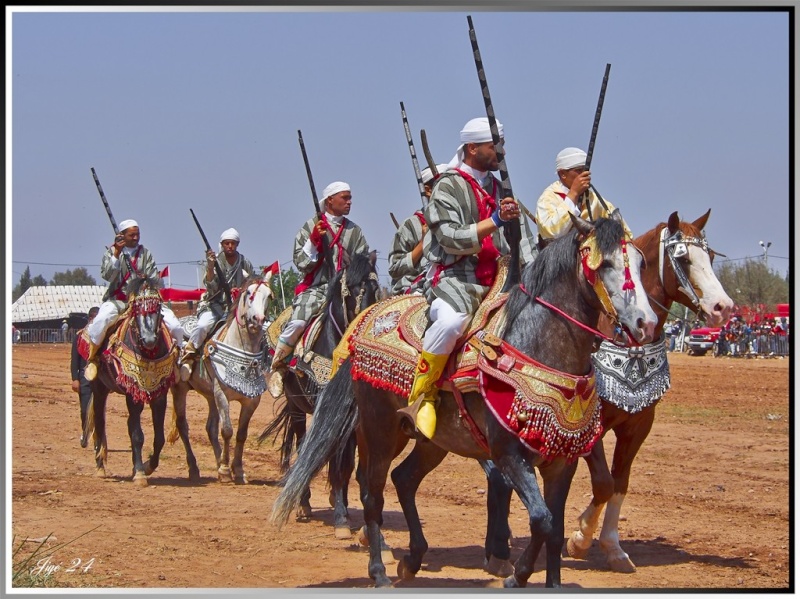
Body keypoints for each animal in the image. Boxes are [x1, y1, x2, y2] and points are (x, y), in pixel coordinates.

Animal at [87, 282, 181, 488]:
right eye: (136, 311)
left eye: (158, 309)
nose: (149, 340)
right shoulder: (134, 394)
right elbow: (137, 434)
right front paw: (139, 473)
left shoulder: (159, 396)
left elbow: (159, 438)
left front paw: (147, 466)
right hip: (99, 389)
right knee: (100, 423)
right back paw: (100, 466)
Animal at [167, 274, 274, 486]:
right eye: (248, 294)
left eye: (269, 295)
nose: (258, 320)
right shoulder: (222, 394)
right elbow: (227, 431)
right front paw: (225, 470)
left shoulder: (251, 401)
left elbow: (241, 434)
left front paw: (238, 470)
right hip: (180, 390)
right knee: (183, 426)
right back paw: (194, 468)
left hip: (210, 396)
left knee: (210, 428)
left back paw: (217, 464)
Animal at [256, 251, 382, 536]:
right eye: (351, 289)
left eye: (374, 287)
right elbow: (333, 460)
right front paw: (341, 519)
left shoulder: (353, 417)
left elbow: (347, 464)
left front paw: (345, 506)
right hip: (297, 408)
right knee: (301, 444)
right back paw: (303, 504)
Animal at [272, 213, 660, 588]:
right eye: (604, 263)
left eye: (641, 263)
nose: (647, 323)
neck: (536, 348)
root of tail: (361, 330)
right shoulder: (508, 454)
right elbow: (542, 519)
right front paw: (517, 574)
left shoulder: (562, 462)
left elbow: (555, 526)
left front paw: (545, 579)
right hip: (378, 430)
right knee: (371, 491)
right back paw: (379, 570)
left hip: (432, 441)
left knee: (404, 479)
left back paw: (412, 560)